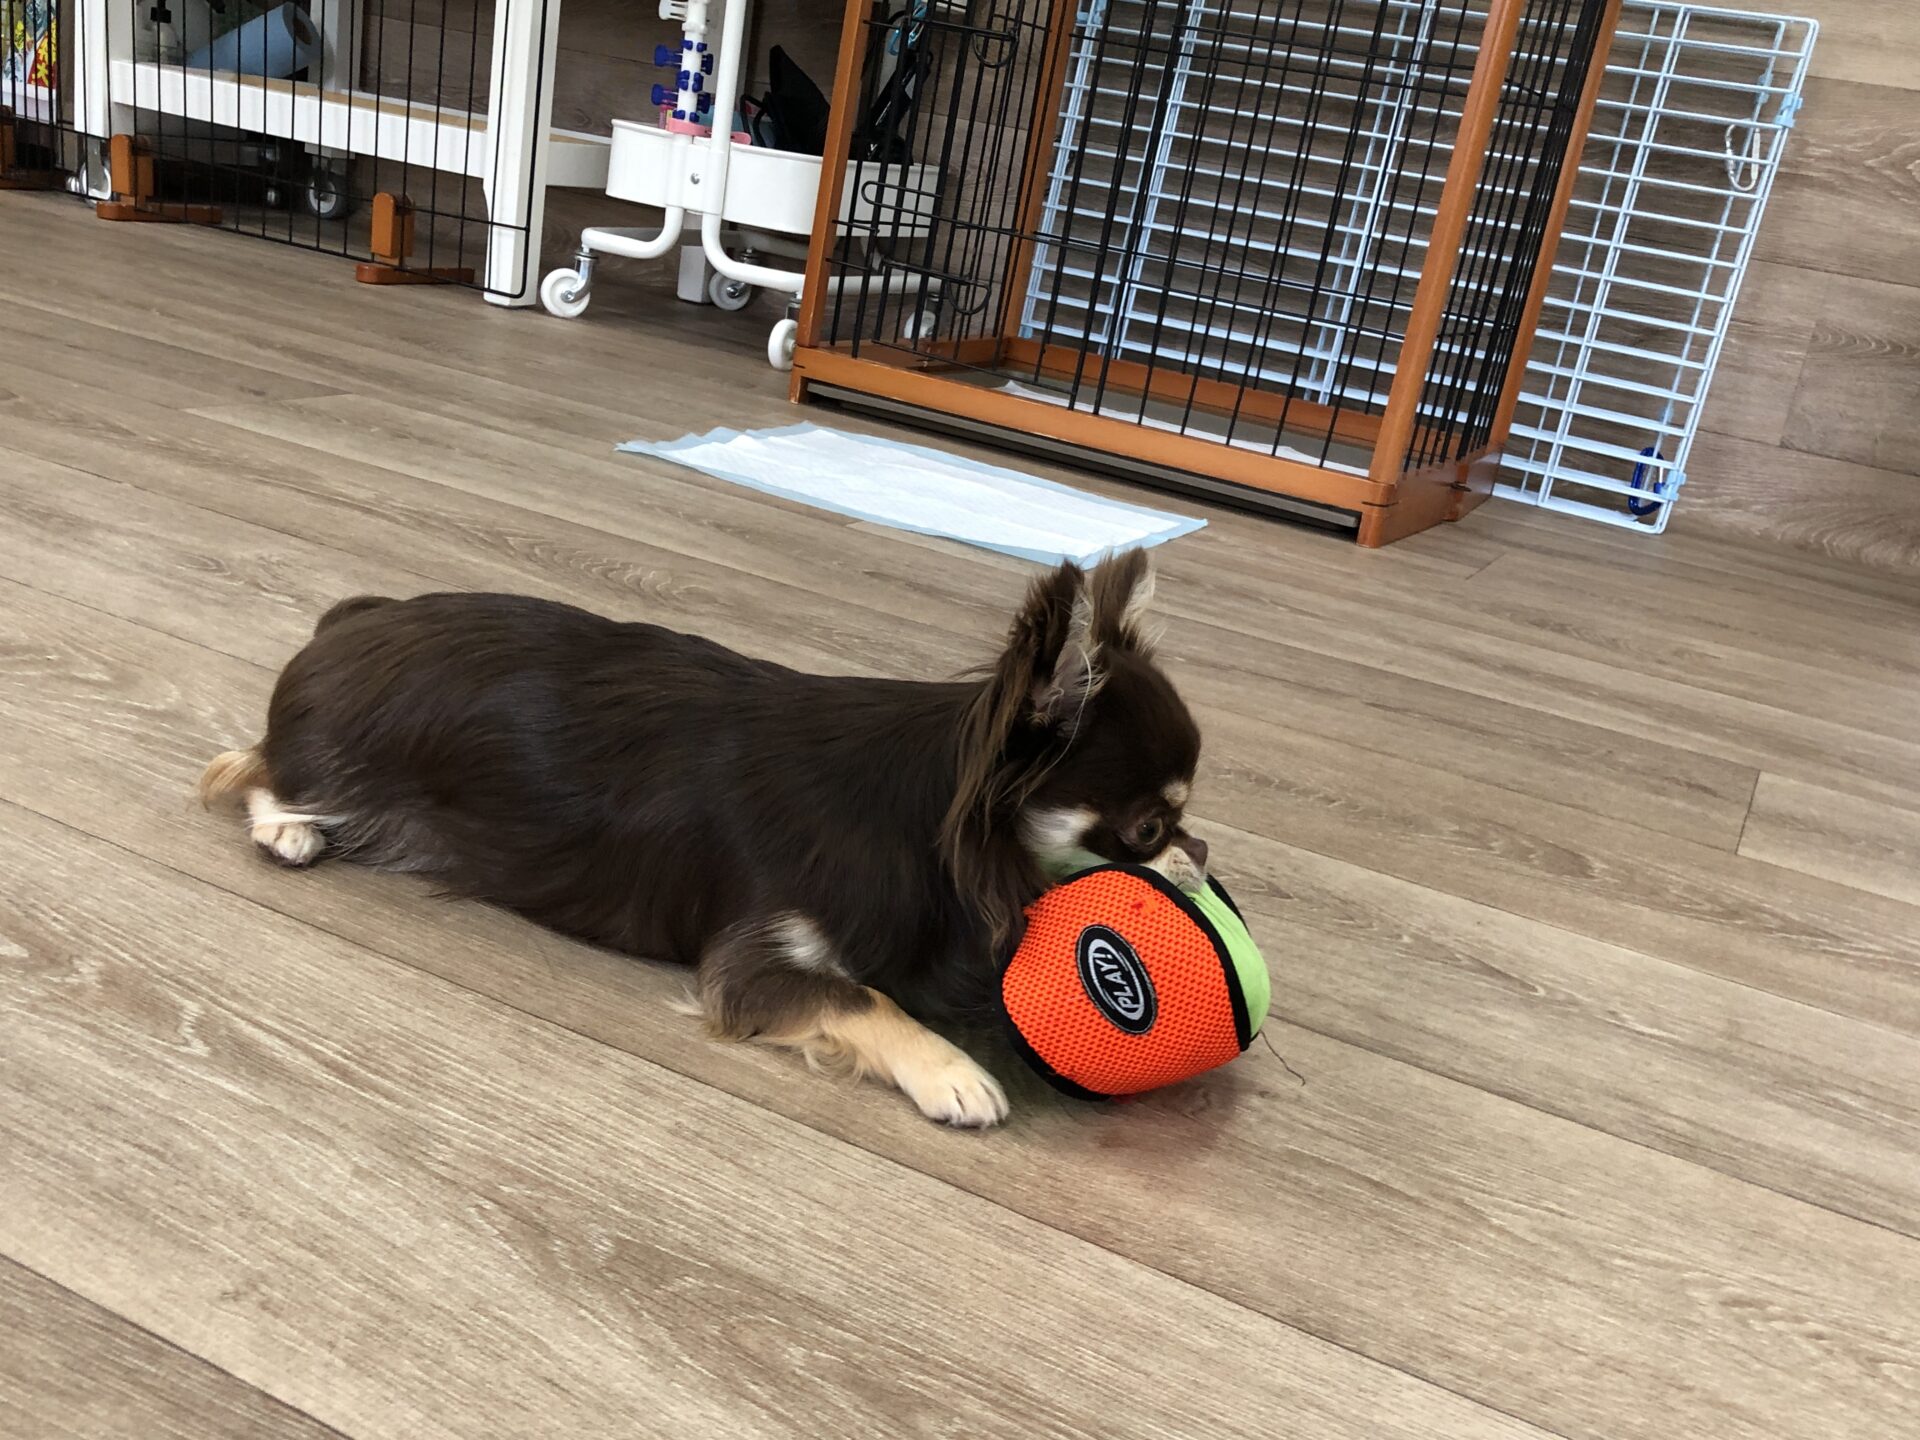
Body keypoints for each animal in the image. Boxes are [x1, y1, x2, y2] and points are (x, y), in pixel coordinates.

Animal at [199, 551, 1206, 1127]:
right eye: (1149, 827)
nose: (1201, 857)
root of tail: (354, 619)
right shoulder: (757, 964)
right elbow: (867, 999)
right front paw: (954, 1070)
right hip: (341, 767)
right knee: (247, 764)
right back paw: (286, 829)